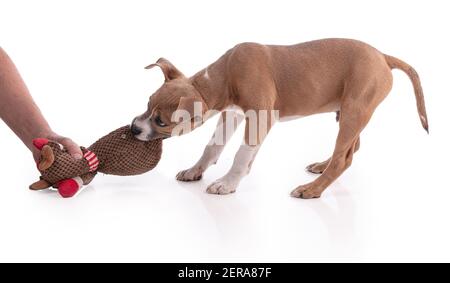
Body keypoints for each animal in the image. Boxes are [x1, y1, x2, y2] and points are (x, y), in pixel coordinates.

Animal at [132, 38, 428, 200]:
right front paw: (196, 170)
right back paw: (321, 166)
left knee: (343, 158)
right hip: (347, 112)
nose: (134, 128)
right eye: (147, 104)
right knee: (350, 148)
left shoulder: (260, 117)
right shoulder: (231, 114)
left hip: (355, 111)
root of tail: (383, 56)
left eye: (161, 122)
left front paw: (227, 183)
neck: (222, 78)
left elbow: (242, 153)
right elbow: (213, 146)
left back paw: (312, 189)